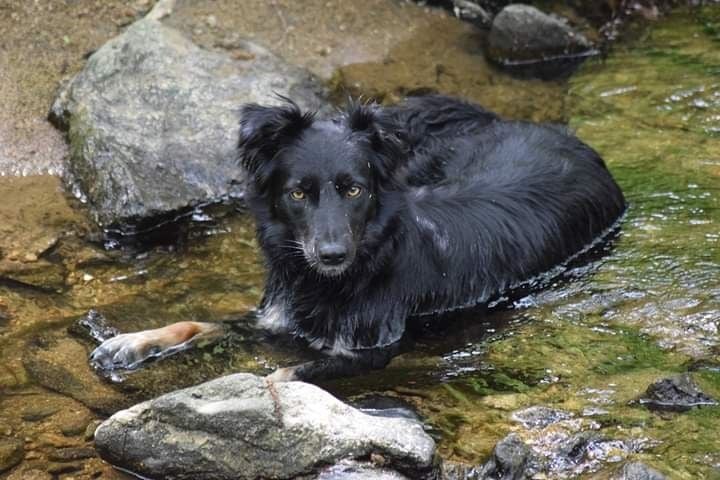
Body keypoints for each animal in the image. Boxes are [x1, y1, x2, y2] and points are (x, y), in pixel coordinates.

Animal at [88, 95, 624, 382]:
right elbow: (197, 322)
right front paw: (133, 342)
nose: (331, 254)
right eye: (298, 192)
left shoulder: (372, 350)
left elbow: (296, 372)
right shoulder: (279, 318)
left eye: (354, 189)